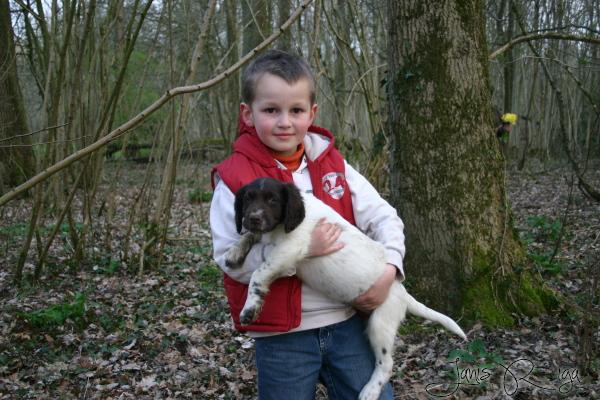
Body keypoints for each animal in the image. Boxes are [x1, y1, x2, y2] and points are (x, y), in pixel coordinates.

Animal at [225, 177, 466, 400]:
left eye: (272, 200)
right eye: (248, 199)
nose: (253, 218)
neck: (281, 227)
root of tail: (402, 293)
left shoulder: (291, 248)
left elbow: (258, 273)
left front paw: (250, 309)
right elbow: (250, 236)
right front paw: (234, 253)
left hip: (380, 322)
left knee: (387, 363)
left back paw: (370, 391)